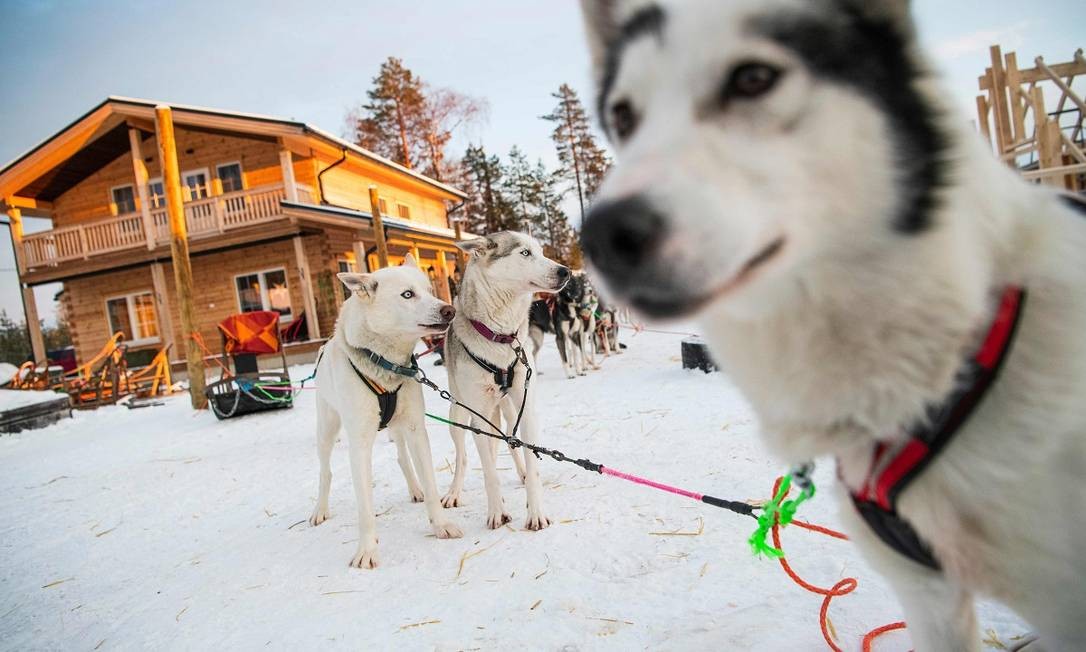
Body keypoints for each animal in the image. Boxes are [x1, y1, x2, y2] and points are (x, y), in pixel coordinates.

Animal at [308, 252, 460, 569]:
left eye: (429, 289)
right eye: (407, 294)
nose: (449, 310)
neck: (385, 363)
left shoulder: (415, 429)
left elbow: (429, 482)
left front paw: (440, 524)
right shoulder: (360, 444)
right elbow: (364, 508)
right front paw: (366, 550)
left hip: (399, 427)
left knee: (403, 457)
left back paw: (415, 489)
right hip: (326, 430)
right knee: (325, 471)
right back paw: (320, 509)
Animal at [440, 232, 577, 530]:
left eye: (541, 251)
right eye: (524, 253)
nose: (566, 271)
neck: (500, 337)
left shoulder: (527, 410)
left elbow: (529, 461)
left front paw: (535, 512)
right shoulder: (478, 418)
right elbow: (489, 473)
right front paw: (496, 512)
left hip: (509, 409)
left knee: (509, 442)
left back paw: (521, 473)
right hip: (458, 414)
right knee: (465, 456)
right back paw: (454, 492)